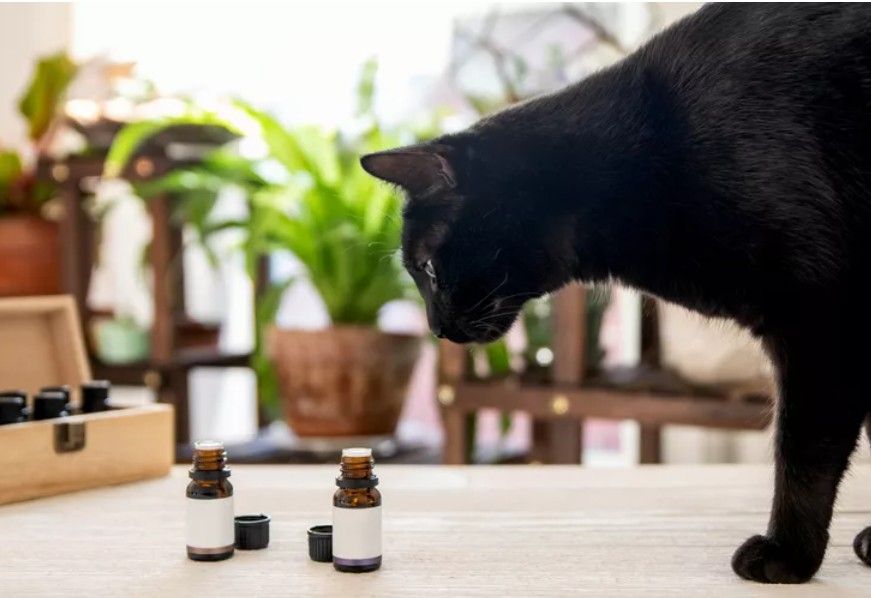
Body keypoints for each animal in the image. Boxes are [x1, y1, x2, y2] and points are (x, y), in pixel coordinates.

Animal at [362, 2, 871, 584]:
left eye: (425, 267)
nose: (436, 328)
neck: (638, 159)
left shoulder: (820, 314)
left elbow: (802, 452)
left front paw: (787, 554)